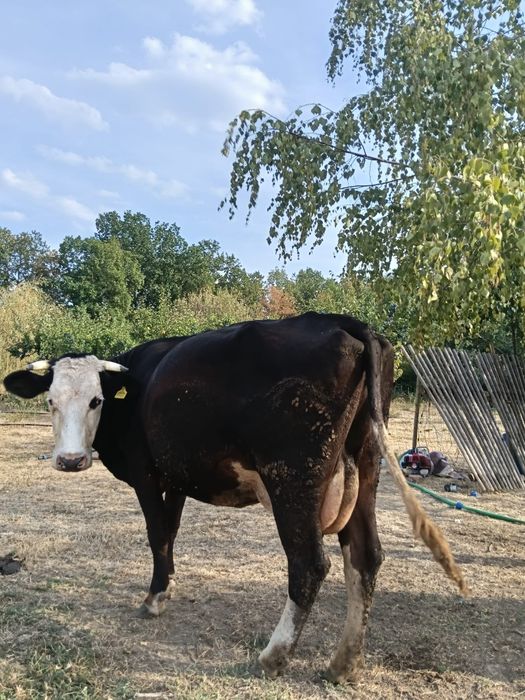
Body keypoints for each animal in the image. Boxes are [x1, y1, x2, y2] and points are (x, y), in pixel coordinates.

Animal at [3, 312, 466, 682]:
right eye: (50, 401)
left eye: (96, 400)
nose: (70, 460)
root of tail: (341, 321)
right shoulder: (177, 480)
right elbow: (170, 533)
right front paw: (167, 586)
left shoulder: (147, 475)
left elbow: (156, 535)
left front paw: (154, 599)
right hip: (366, 467)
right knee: (365, 557)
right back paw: (343, 664)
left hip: (292, 478)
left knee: (309, 566)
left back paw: (273, 657)